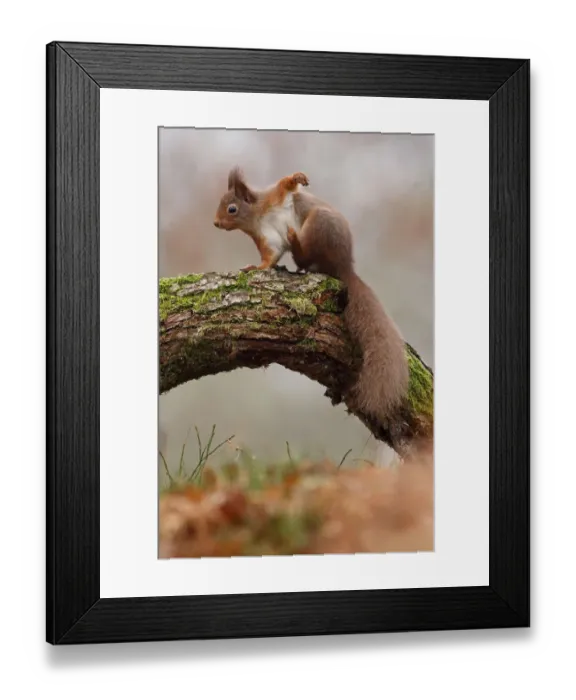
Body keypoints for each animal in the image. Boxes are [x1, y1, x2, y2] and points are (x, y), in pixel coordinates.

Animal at [213, 167, 410, 422]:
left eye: (232, 209)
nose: (216, 223)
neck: (256, 217)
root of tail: (343, 267)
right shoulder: (268, 239)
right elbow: (269, 258)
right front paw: (255, 267)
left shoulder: (275, 199)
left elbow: (285, 187)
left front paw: (296, 178)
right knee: (305, 261)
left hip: (320, 223)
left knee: (308, 253)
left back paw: (296, 240)